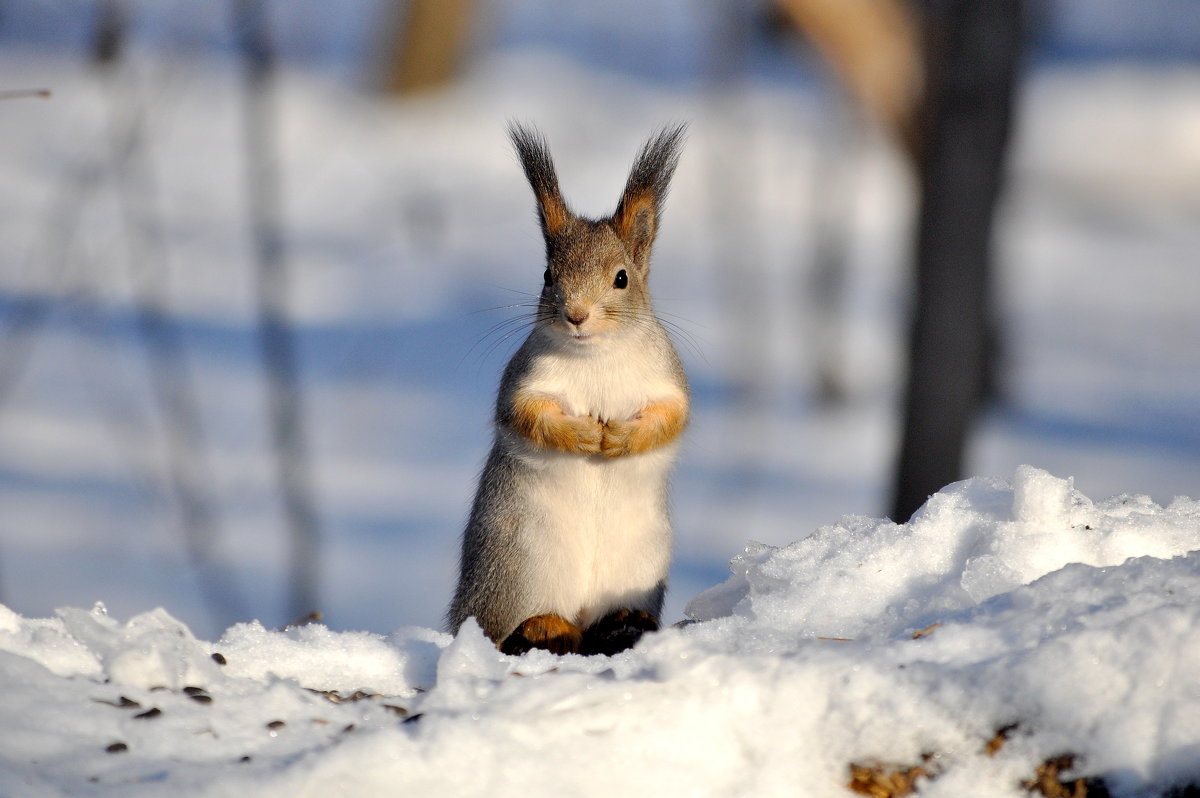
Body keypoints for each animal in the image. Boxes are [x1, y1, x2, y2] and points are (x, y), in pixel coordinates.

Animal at [448, 124, 696, 657]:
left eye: (622, 279)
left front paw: (619, 440)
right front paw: (583, 436)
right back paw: (545, 627)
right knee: (509, 628)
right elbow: (526, 414)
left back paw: (621, 623)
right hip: (513, 572)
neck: (595, 355)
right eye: (547, 276)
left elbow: (670, 417)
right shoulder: (524, 378)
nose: (576, 315)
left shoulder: (668, 380)